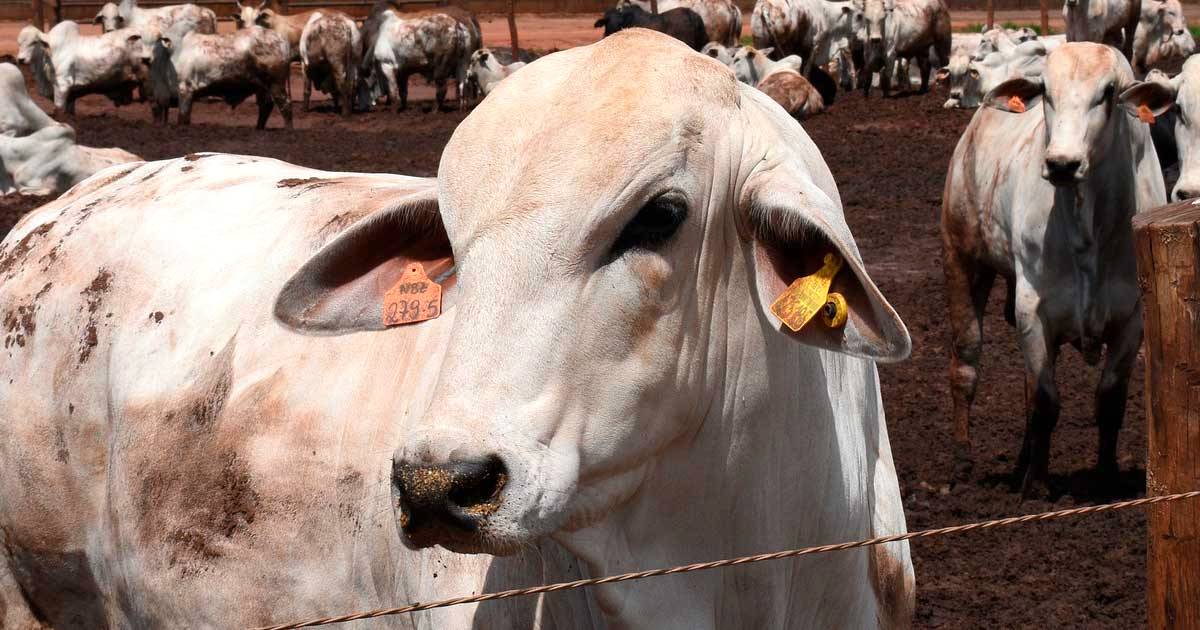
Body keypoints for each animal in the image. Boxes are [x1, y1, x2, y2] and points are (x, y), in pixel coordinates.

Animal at [149, 27, 292, 128]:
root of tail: (281, 39)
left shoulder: (185, 90)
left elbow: (183, 118)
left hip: (276, 84)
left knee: (285, 105)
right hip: (261, 87)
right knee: (266, 106)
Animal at [940, 42, 1166, 496]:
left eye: (1108, 92)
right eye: (1045, 90)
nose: (1062, 163)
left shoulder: (1132, 318)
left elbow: (1109, 400)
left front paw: (1106, 477)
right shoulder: (1033, 308)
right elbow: (1046, 400)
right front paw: (1038, 486)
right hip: (963, 258)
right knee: (966, 361)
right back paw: (963, 458)